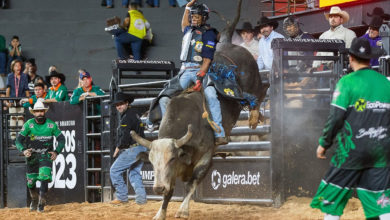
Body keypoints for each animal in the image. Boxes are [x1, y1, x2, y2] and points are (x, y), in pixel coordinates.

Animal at [130, 0, 268, 219]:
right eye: (151, 160)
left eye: (171, 159)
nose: (157, 188)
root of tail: (228, 42)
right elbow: (170, 191)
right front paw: (160, 212)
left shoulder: (206, 157)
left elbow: (193, 182)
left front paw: (183, 209)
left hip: (252, 80)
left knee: (262, 90)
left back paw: (254, 116)